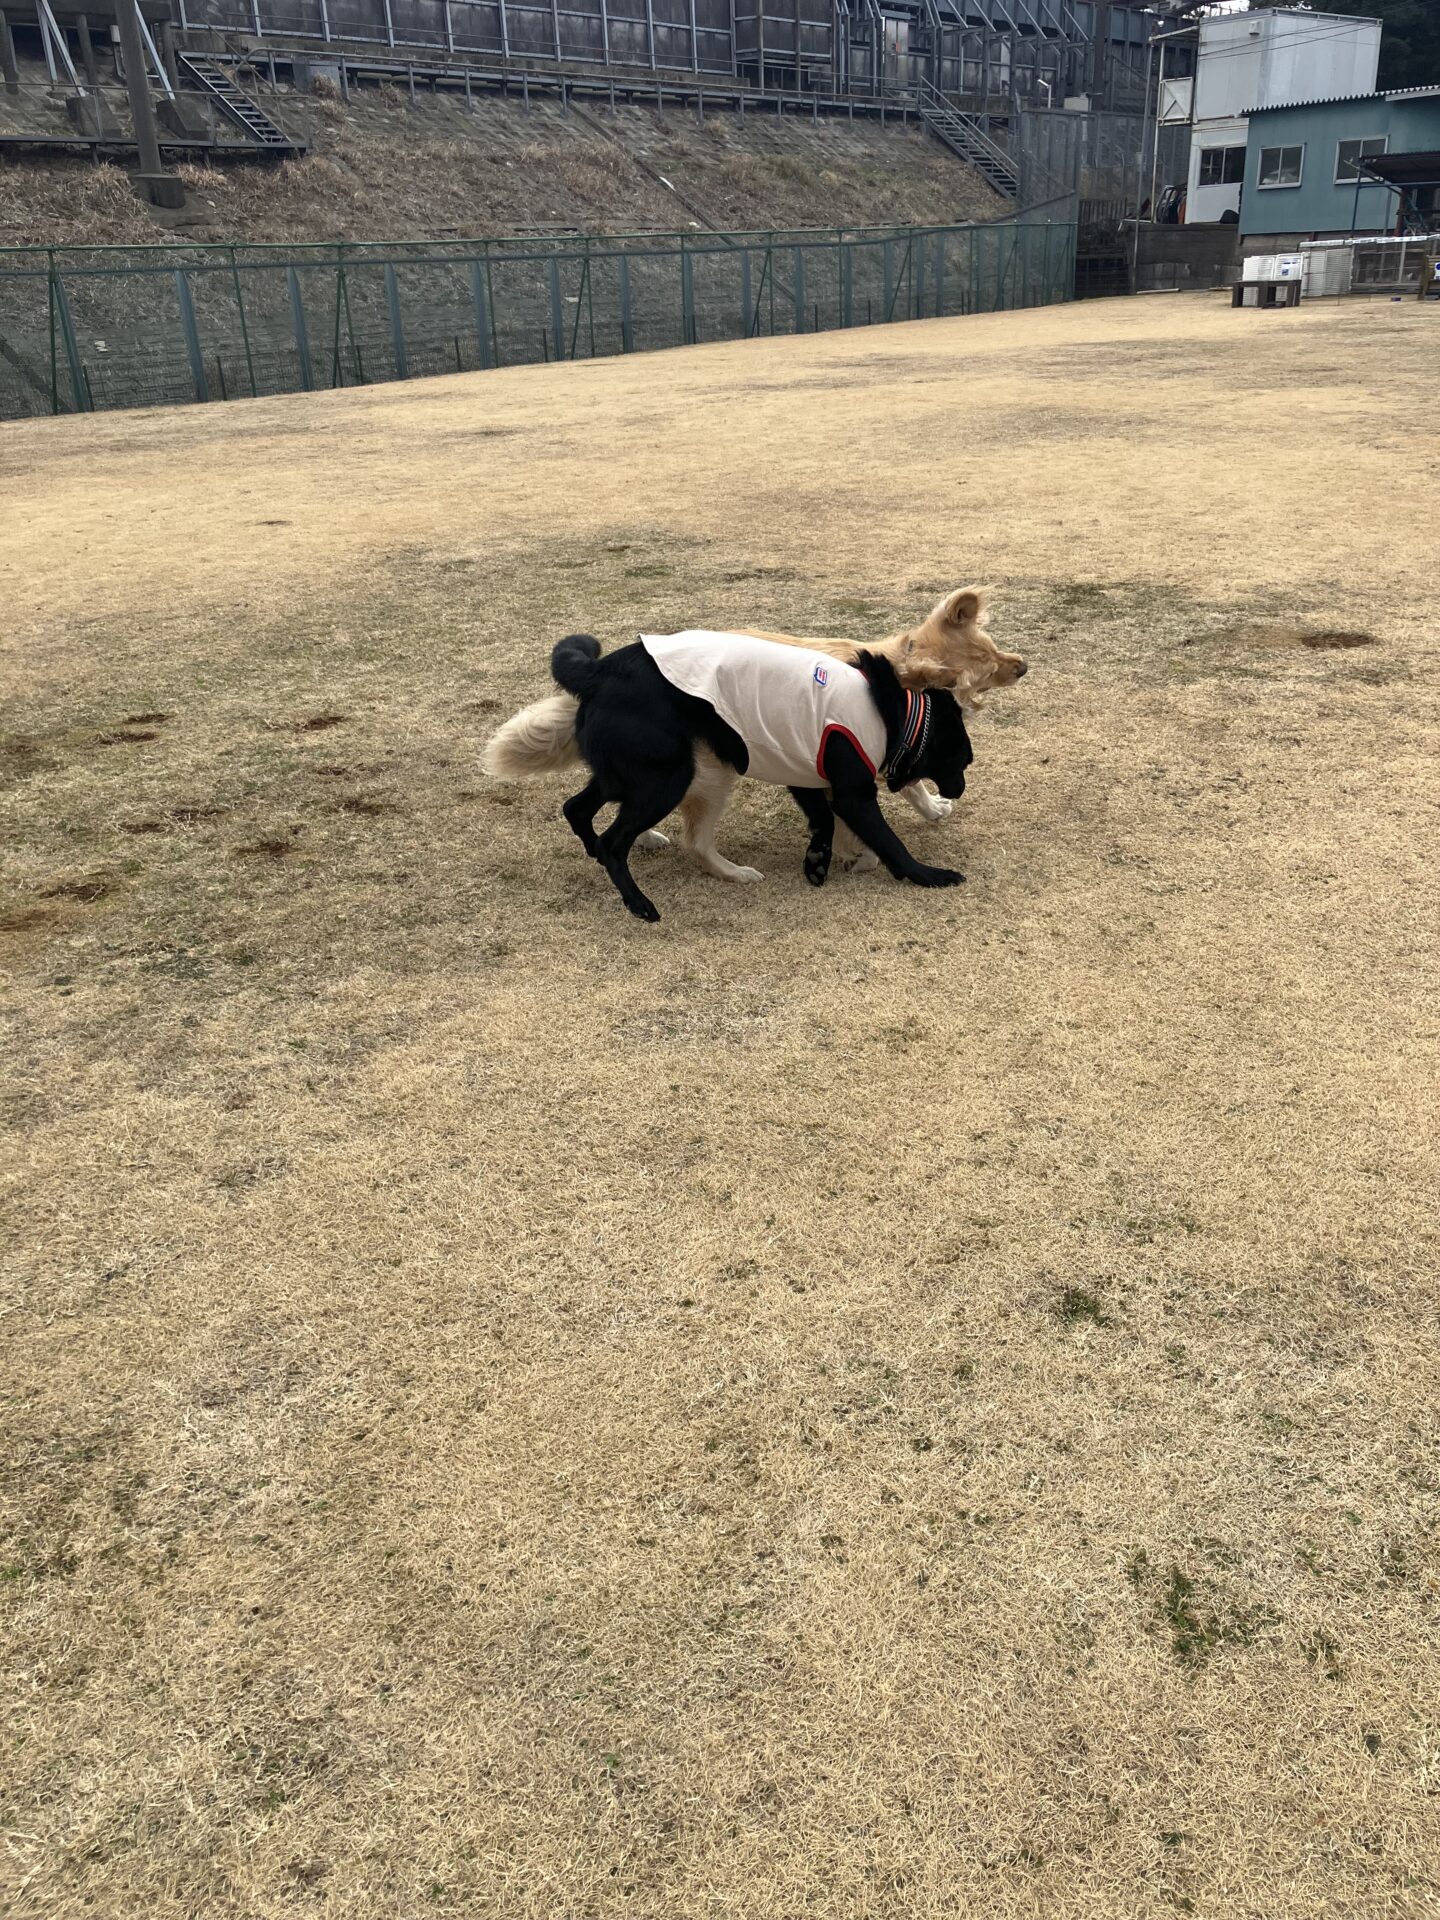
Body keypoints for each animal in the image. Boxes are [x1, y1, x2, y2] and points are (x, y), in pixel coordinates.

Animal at [519, 629, 973, 922]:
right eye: (963, 762)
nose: (959, 790)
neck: (895, 714)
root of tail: (599, 671)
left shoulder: (805, 772)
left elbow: (825, 821)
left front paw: (822, 860)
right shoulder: (853, 792)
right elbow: (889, 843)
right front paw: (930, 875)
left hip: (631, 773)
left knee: (576, 808)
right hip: (669, 779)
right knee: (620, 842)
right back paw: (642, 903)